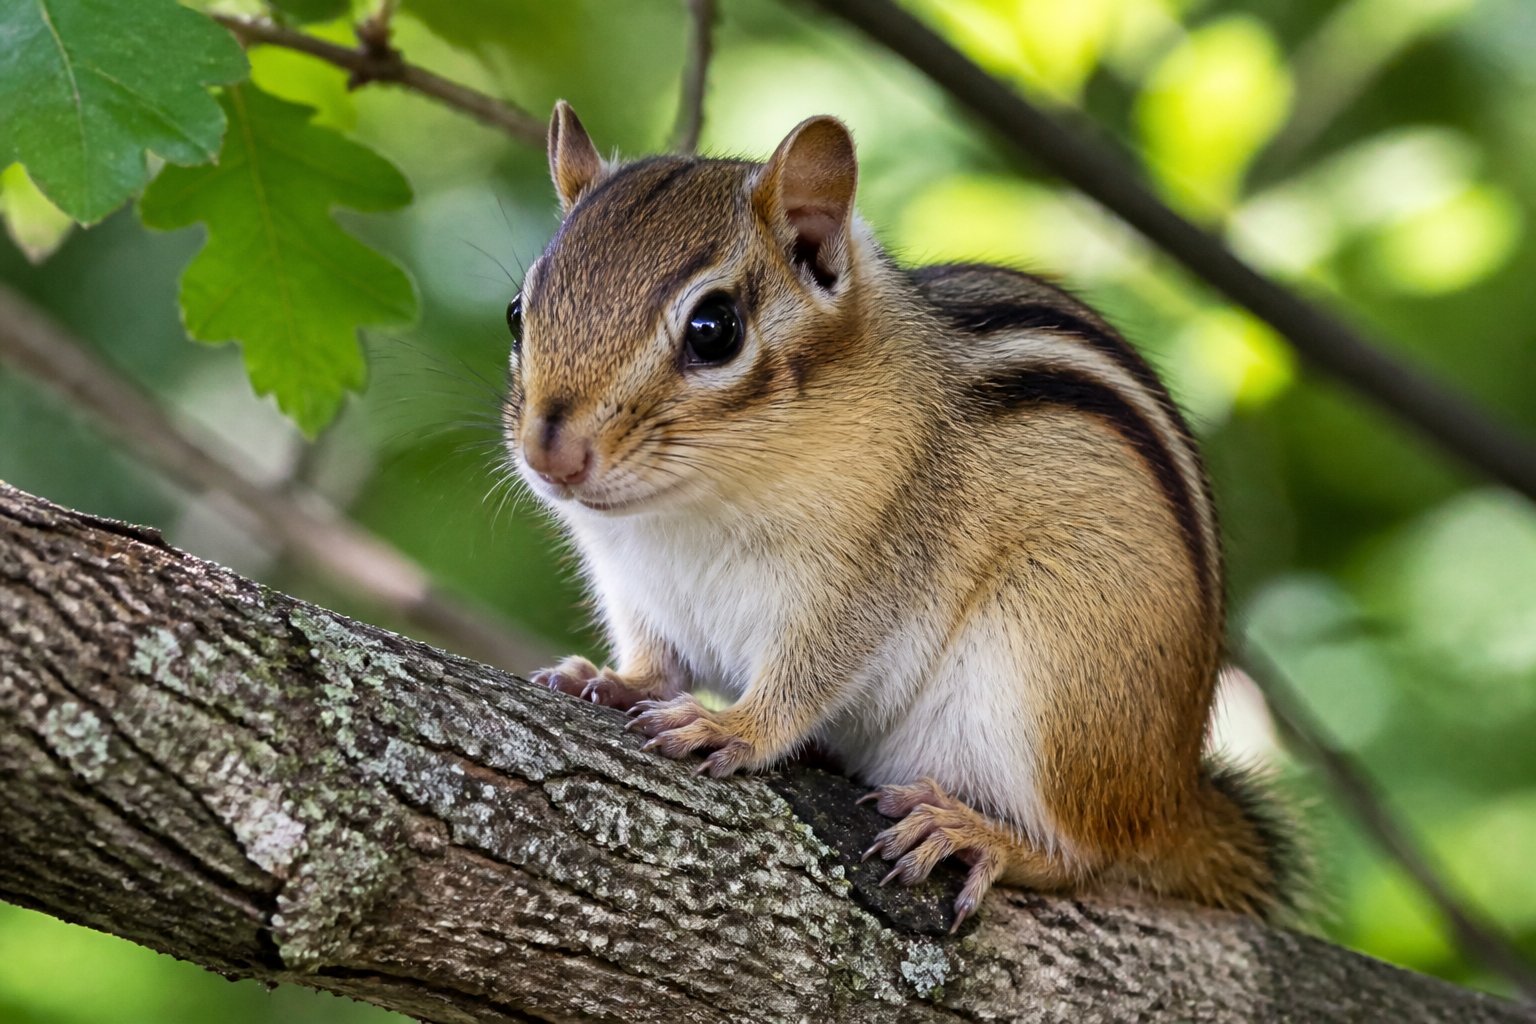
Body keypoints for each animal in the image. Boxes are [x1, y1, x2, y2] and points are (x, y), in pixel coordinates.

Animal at [504, 101, 1297, 931]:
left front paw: (734, 726)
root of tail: (1172, 798)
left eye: (715, 329)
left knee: (1087, 855)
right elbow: (656, 660)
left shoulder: (869, 575)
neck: (681, 511)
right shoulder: (636, 588)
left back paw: (977, 834)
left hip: (1050, 668)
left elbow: (808, 676)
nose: (550, 454)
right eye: (518, 313)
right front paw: (612, 679)